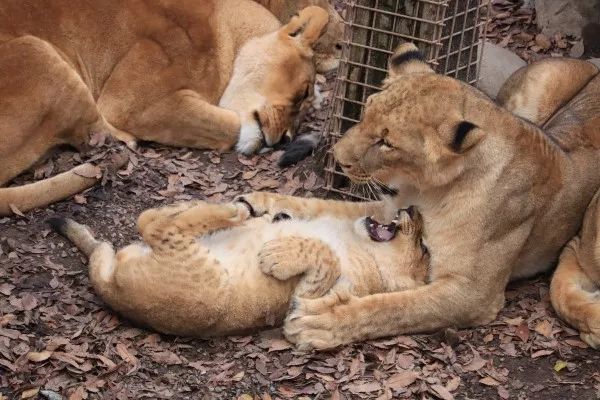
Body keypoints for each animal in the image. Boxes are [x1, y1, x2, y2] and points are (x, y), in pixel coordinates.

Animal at [49, 200, 428, 338]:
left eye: (423, 247)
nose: (412, 208)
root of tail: (114, 293)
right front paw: (276, 218)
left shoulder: (303, 304)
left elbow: (326, 258)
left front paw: (274, 255)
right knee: (147, 221)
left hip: (195, 267)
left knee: (153, 224)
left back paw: (233, 210)